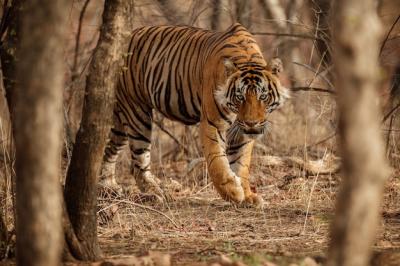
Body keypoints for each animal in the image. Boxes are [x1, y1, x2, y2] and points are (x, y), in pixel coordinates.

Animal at [99, 22, 288, 206]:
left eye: (263, 96)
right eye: (240, 97)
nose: (251, 123)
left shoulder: (241, 131)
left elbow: (241, 163)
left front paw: (248, 196)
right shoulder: (213, 123)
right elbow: (217, 162)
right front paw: (233, 192)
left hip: (121, 119)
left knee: (109, 148)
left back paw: (108, 187)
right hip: (136, 112)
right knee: (138, 162)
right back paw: (156, 193)